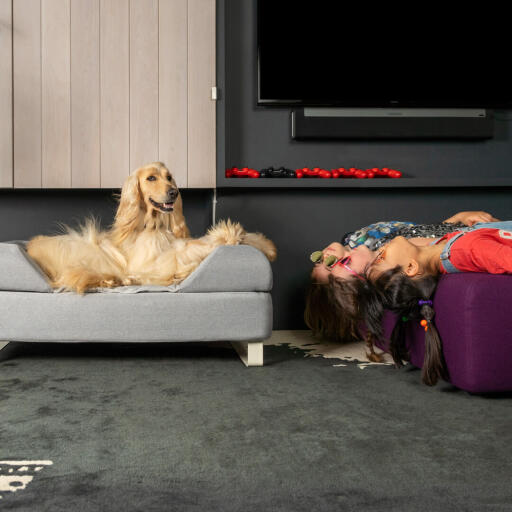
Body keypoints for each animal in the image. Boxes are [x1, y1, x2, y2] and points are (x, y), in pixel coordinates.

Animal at [25, 162, 276, 294]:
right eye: (151, 178)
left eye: (169, 177)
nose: (174, 193)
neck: (154, 225)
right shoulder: (148, 261)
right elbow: (189, 252)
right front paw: (229, 235)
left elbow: (199, 244)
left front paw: (264, 245)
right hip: (80, 248)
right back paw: (118, 280)